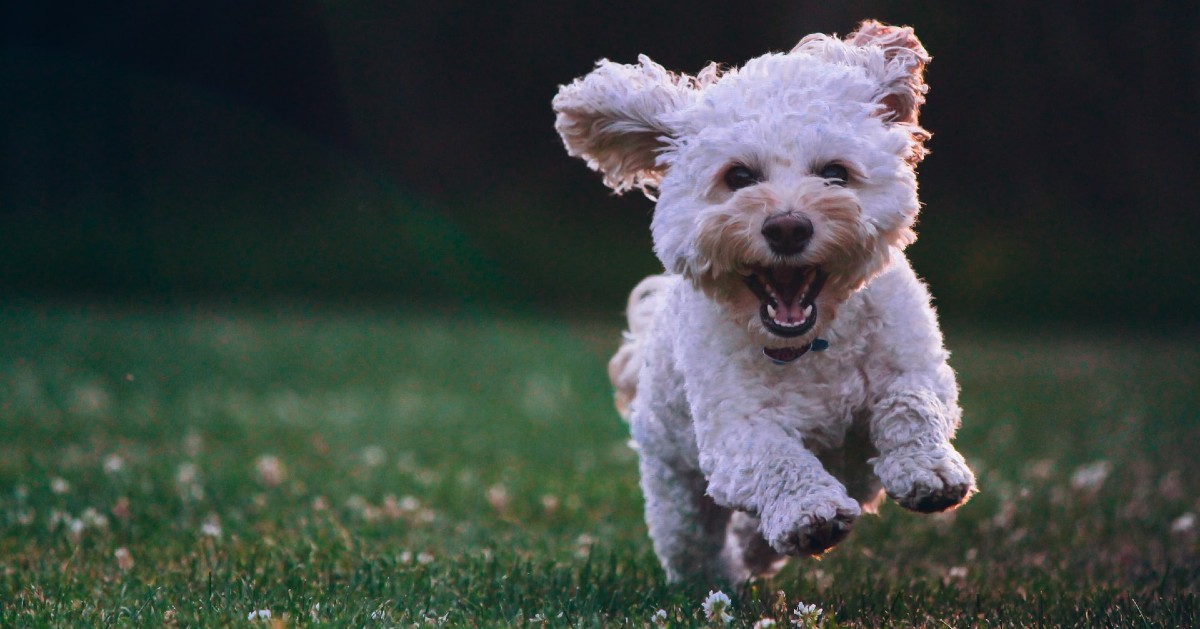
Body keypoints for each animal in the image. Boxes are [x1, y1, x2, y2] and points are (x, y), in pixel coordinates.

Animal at [552, 20, 974, 585]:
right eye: (738, 177)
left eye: (835, 173)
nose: (788, 227)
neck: (812, 344)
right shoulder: (734, 430)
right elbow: (775, 457)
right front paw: (808, 512)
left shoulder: (915, 364)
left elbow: (911, 403)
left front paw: (928, 470)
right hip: (674, 484)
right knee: (692, 541)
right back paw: (722, 576)